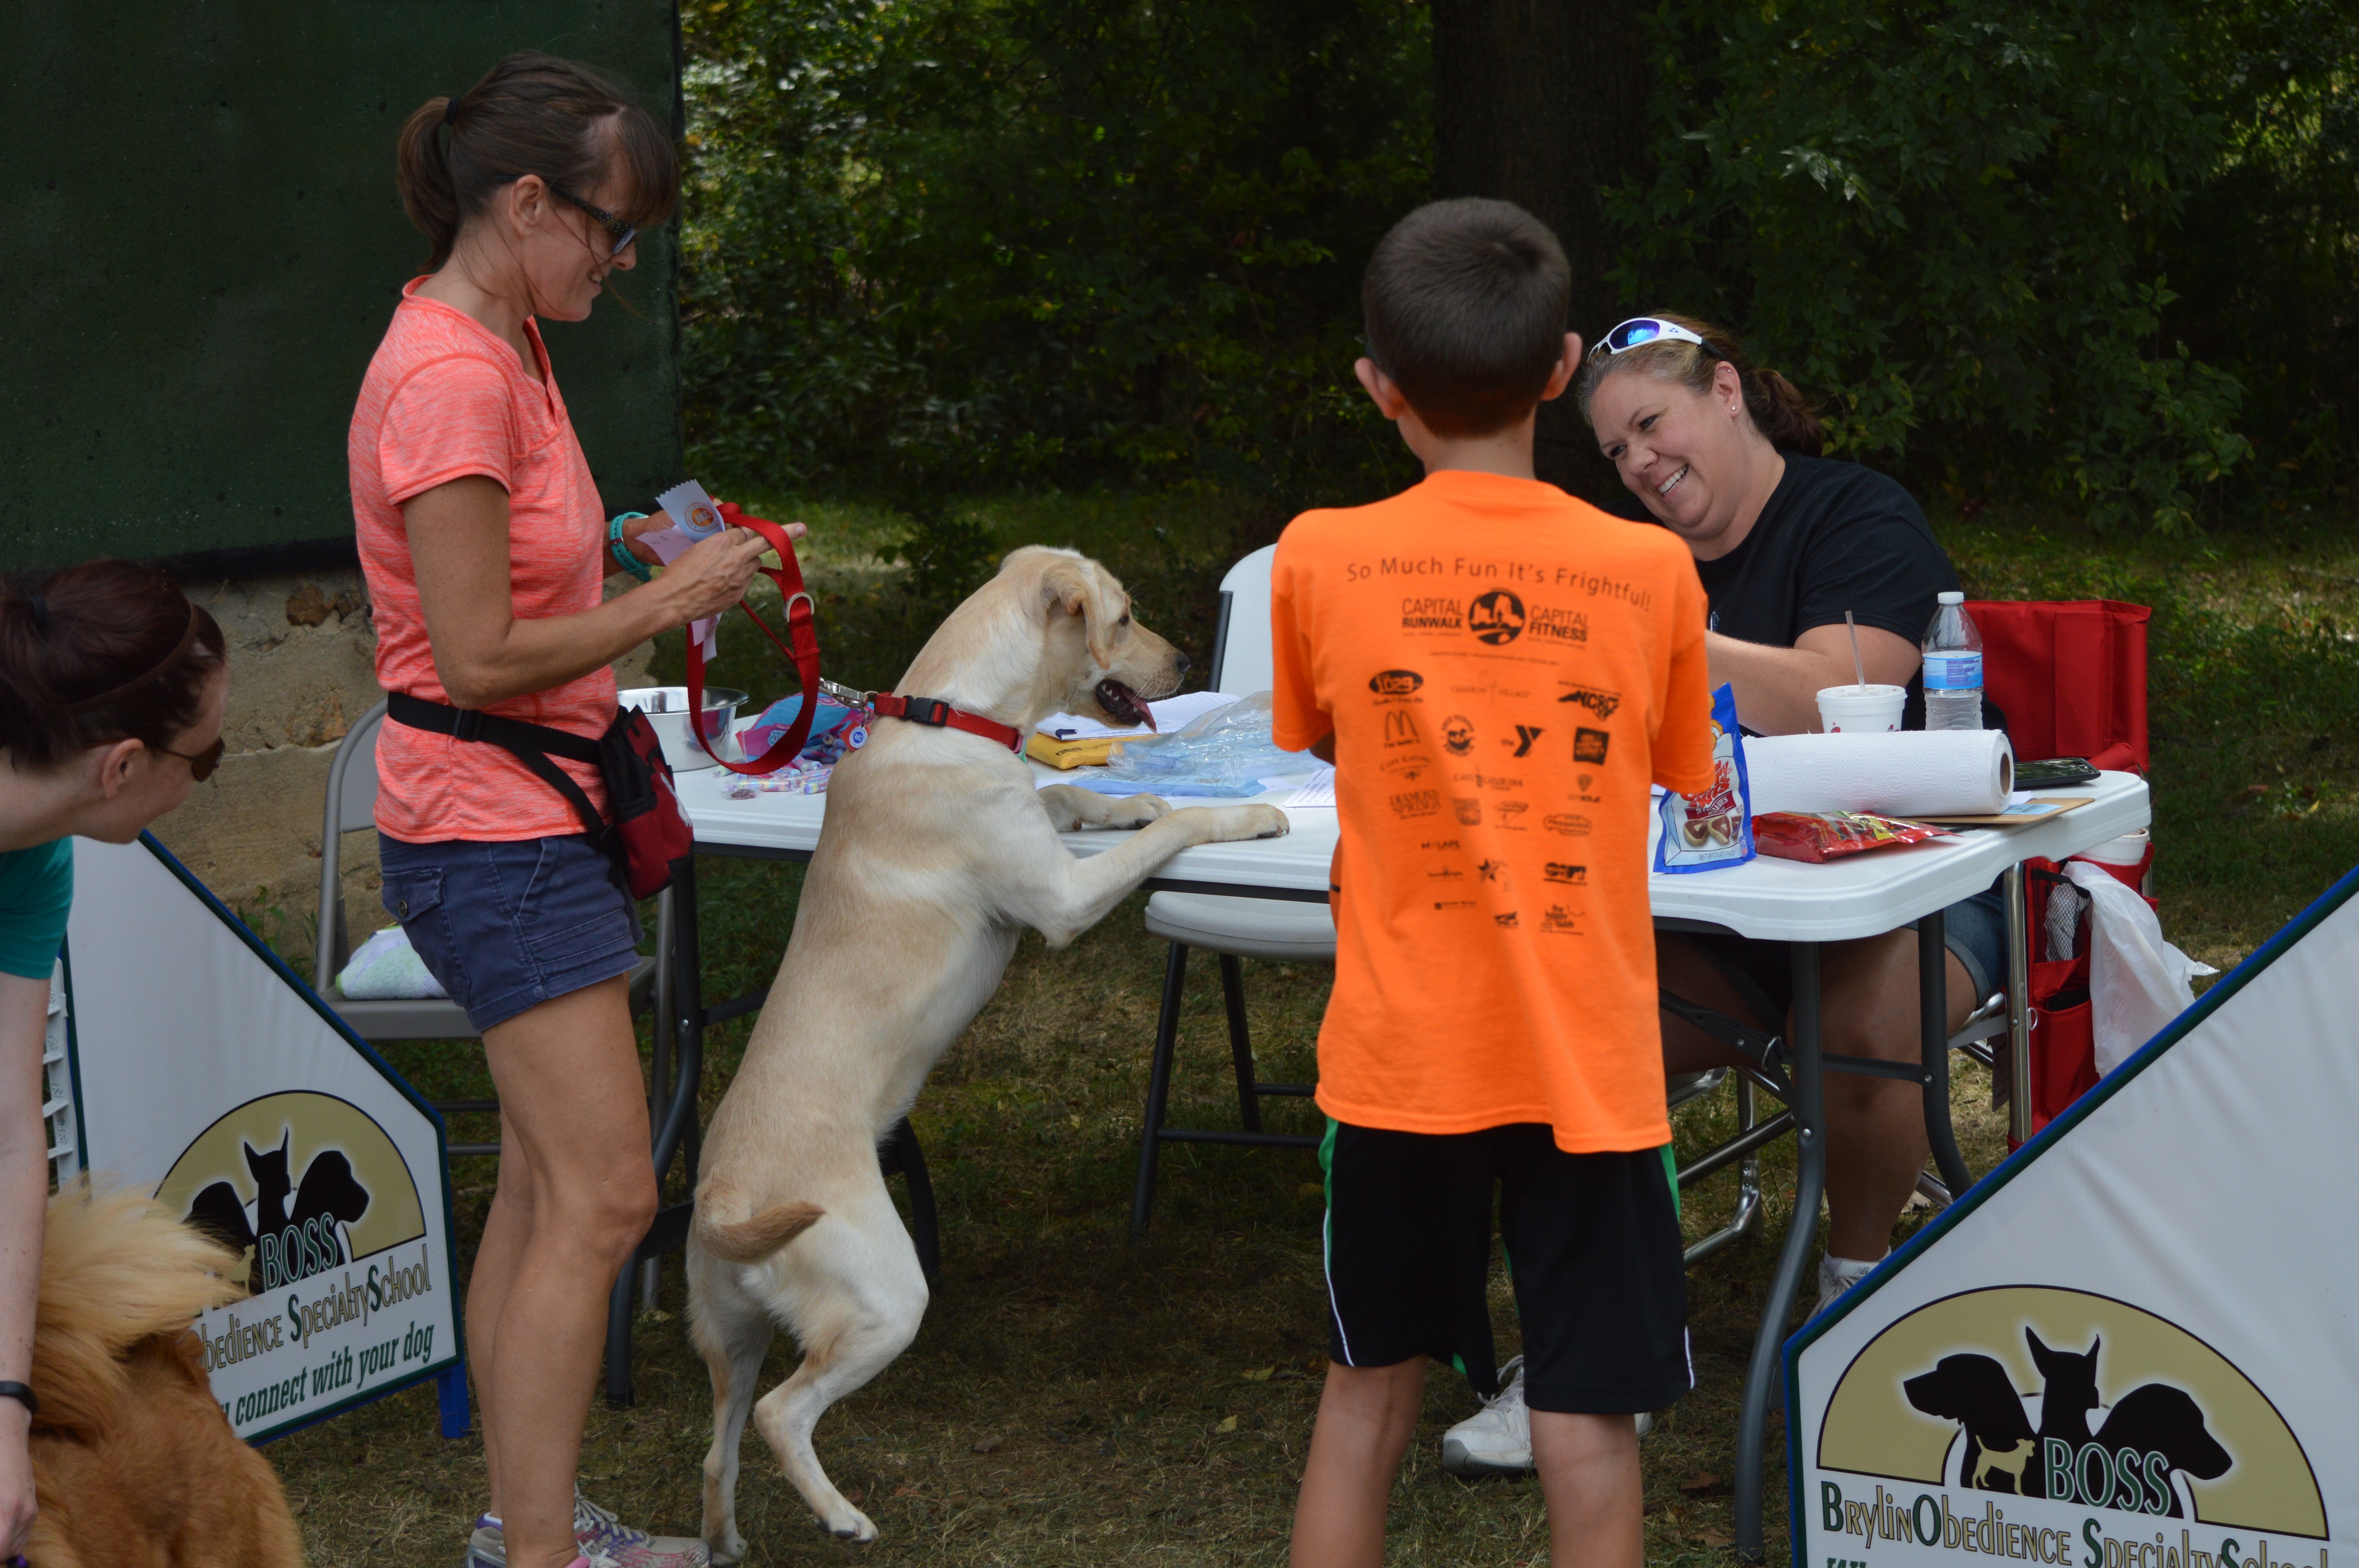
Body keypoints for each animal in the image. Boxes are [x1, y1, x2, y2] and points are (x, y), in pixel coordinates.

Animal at [684, 544, 1292, 1546]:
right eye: (1124, 618)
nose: (1183, 662)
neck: (956, 713)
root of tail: (722, 1197)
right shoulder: (1062, 902)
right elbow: (1176, 824)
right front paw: (1234, 817)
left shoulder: (1041, 828)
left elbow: (1066, 788)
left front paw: (1130, 796)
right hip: (886, 1298)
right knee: (782, 1411)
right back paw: (844, 1516)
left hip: (732, 1333)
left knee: (718, 1445)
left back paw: (725, 1541)